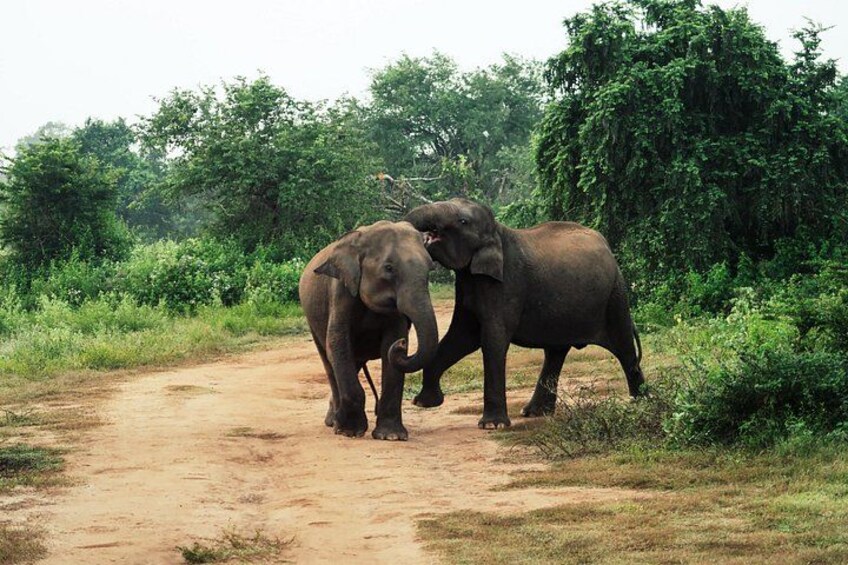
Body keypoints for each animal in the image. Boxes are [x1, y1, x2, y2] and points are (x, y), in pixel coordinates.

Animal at [299, 220, 439, 440]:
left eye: (430, 269)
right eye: (389, 268)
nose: (402, 345)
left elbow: (391, 343)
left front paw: (391, 436)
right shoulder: (340, 292)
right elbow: (338, 343)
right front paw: (350, 432)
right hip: (312, 318)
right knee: (329, 361)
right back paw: (334, 423)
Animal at [404, 198, 644, 429]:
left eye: (463, 221)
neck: (498, 231)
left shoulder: (507, 284)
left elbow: (492, 341)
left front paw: (492, 425)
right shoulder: (468, 283)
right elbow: (461, 337)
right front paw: (425, 403)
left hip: (615, 295)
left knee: (625, 349)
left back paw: (642, 404)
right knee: (556, 352)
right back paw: (534, 413)